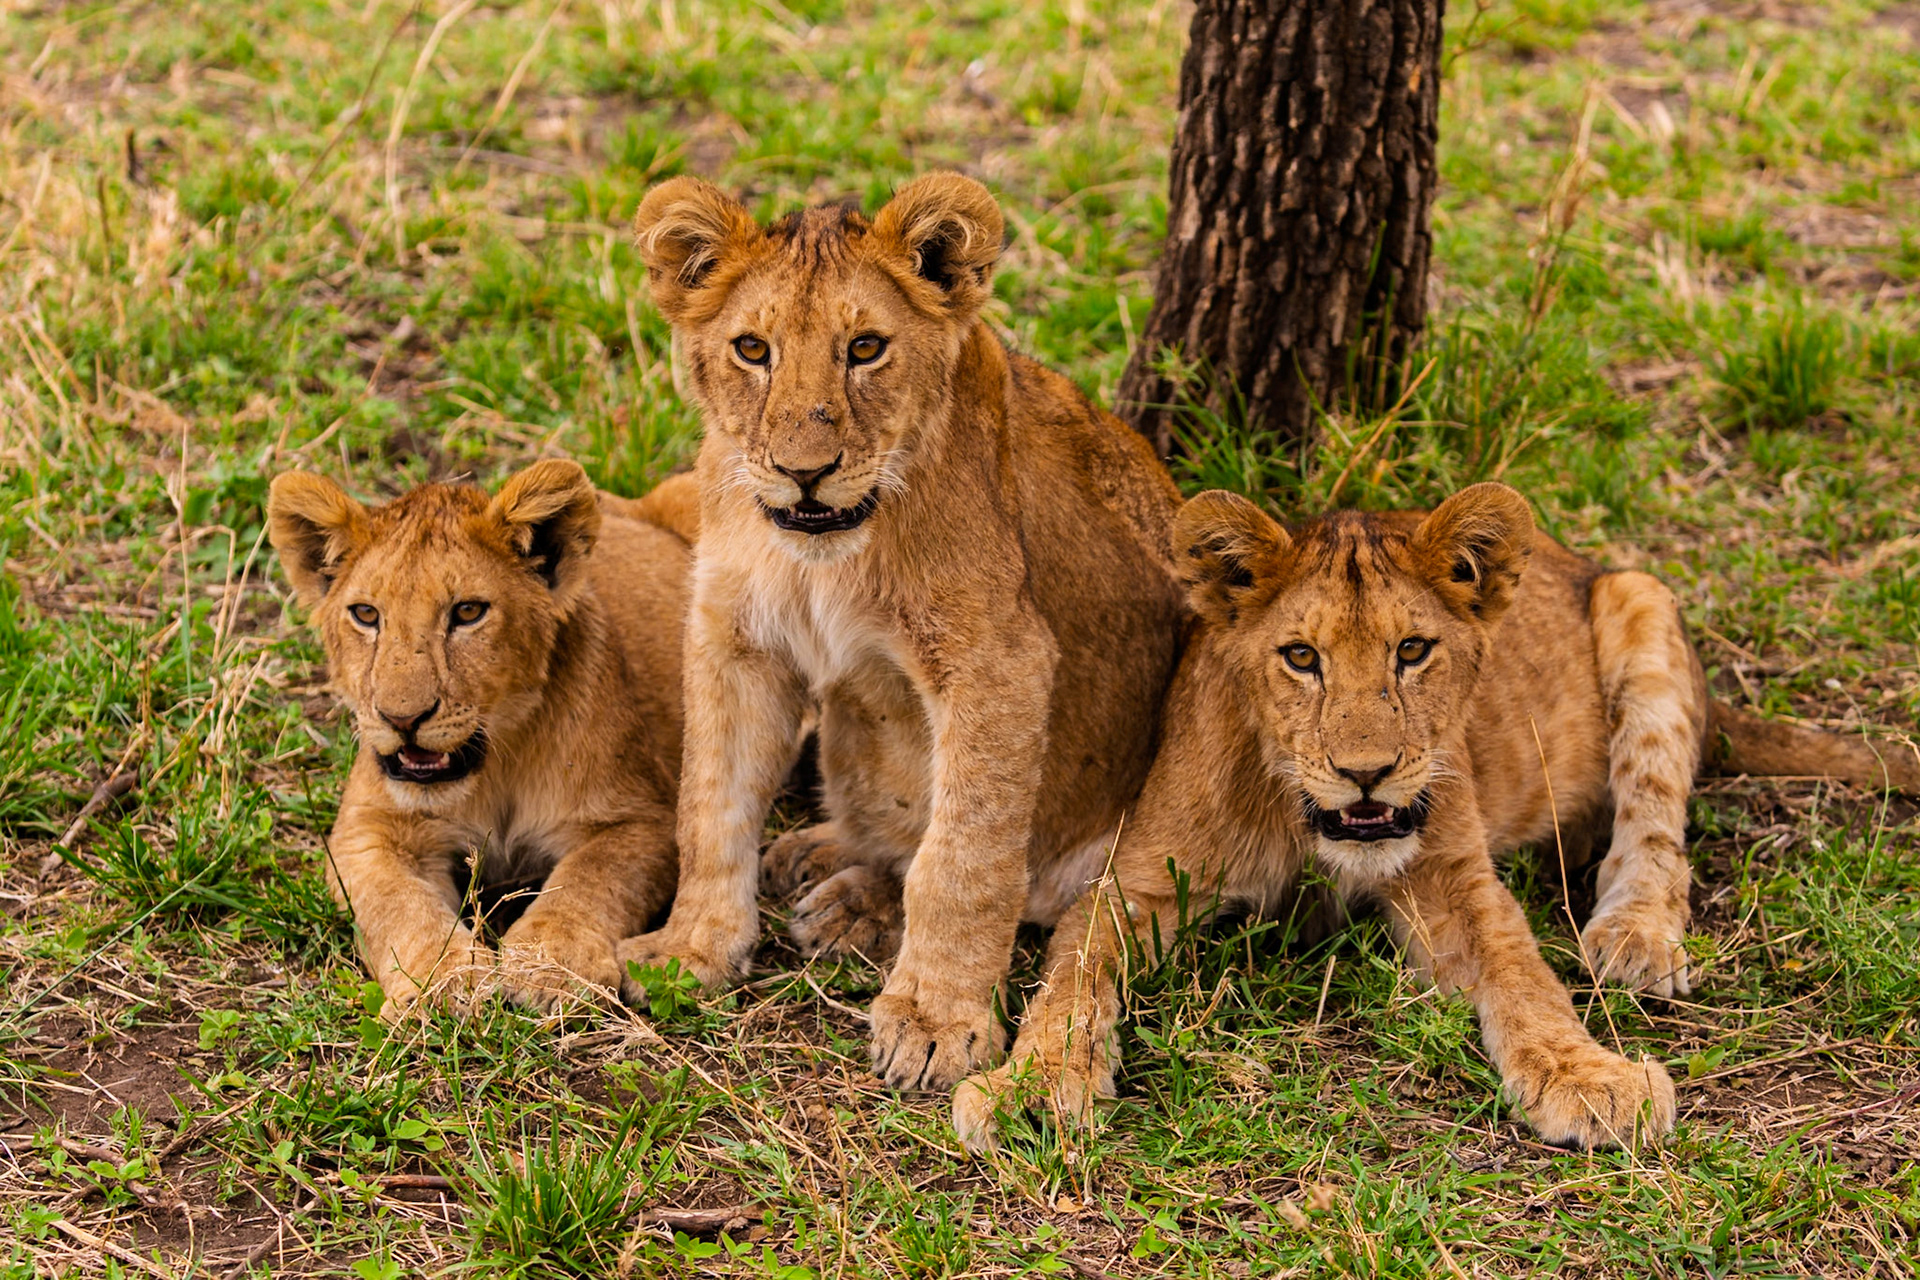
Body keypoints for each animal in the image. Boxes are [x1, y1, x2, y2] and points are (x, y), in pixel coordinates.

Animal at [267, 460, 691, 1015]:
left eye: (468, 612)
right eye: (366, 615)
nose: (402, 718)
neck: (496, 766)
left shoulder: (644, 818)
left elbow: (590, 879)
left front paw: (552, 964)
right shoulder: (366, 830)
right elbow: (397, 903)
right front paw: (441, 980)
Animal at [614, 172, 1188, 1091]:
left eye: (865, 349)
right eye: (752, 350)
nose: (804, 472)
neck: (822, 556)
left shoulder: (1001, 658)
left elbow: (963, 858)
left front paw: (934, 1020)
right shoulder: (734, 641)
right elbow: (710, 806)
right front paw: (691, 949)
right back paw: (823, 871)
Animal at [955, 483, 1919, 1151]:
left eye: (1412, 651)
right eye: (1299, 657)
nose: (1366, 775)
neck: (1305, 825)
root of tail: (1575, 558)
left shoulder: (1451, 870)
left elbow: (1523, 974)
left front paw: (1590, 1079)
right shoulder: (1137, 879)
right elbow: (1073, 977)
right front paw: (1031, 1087)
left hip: (1639, 602)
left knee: (1654, 823)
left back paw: (1635, 935)